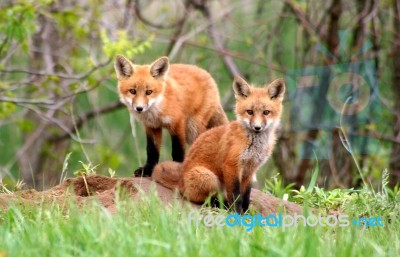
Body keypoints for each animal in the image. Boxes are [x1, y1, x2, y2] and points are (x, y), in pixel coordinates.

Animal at [152, 76, 286, 212]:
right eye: (250, 112)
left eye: (266, 112)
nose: (257, 127)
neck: (254, 145)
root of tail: (180, 181)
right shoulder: (232, 165)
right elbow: (236, 197)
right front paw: (237, 213)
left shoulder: (250, 170)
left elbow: (246, 197)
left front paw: (245, 212)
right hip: (208, 177)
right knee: (199, 198)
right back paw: (221, 205)